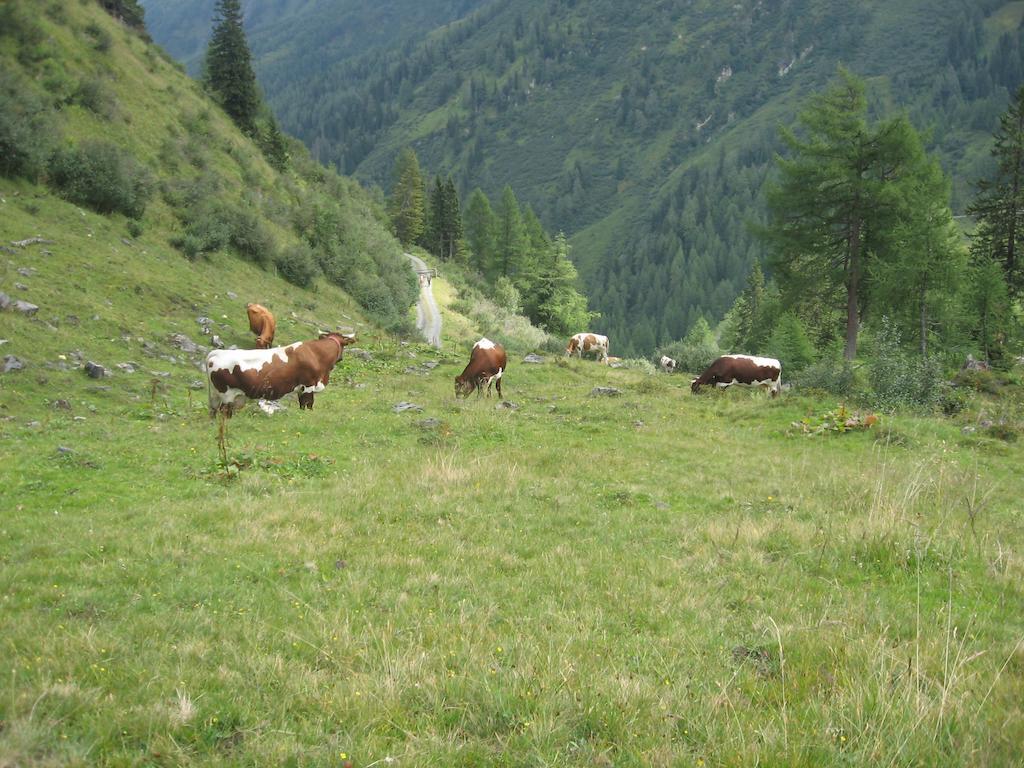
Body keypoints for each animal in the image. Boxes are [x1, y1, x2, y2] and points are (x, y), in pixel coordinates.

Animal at [203, 329, 356, 415]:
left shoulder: (301, 388)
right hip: (226, 394)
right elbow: (309, 404)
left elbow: (302, 405)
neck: (316, 354)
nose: (341, 358)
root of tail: (216, 352)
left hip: (217, 396)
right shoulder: (308, 385)